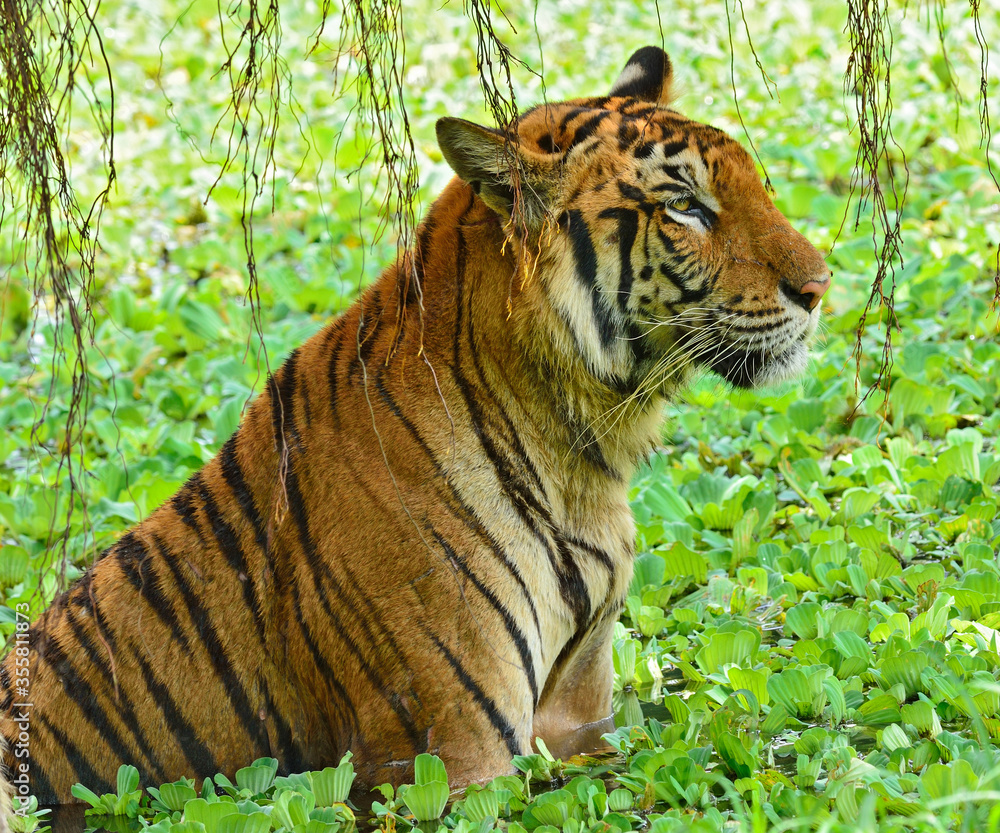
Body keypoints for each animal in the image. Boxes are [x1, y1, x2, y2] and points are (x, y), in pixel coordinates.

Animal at [0, 45, 829, 806]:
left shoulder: (581, 721)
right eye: (685, 206)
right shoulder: (457, 755)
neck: (583, 448)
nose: (820, 286)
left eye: (756, 184)